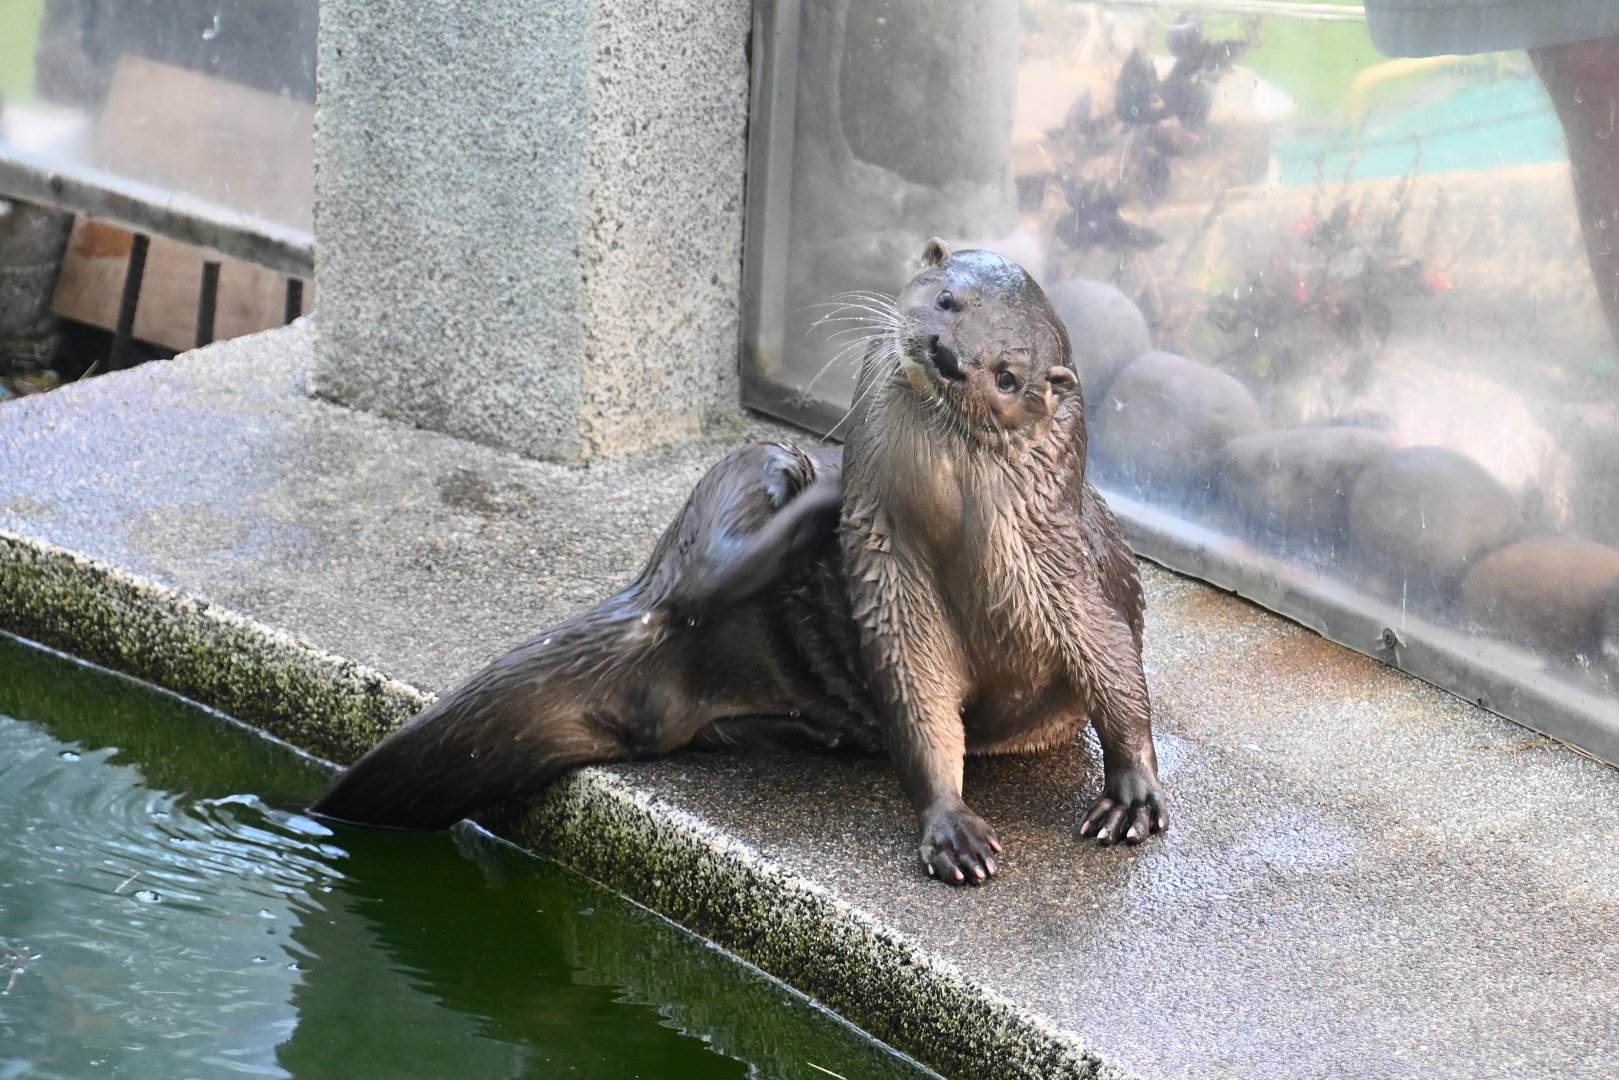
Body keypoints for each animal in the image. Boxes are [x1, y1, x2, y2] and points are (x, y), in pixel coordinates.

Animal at [311, 240, 1168, 884]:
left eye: (1008, 374)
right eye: (949, 300)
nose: (949, 356)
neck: (981, 573)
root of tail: (638, 594)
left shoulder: (1069, 578)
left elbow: (1117, 675)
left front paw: (1132, 789)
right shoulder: (895, 588)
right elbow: (919, 708)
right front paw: (950, 824)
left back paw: (811, 730)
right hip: (738, 471)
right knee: (702, 577)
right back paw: (813, 498)